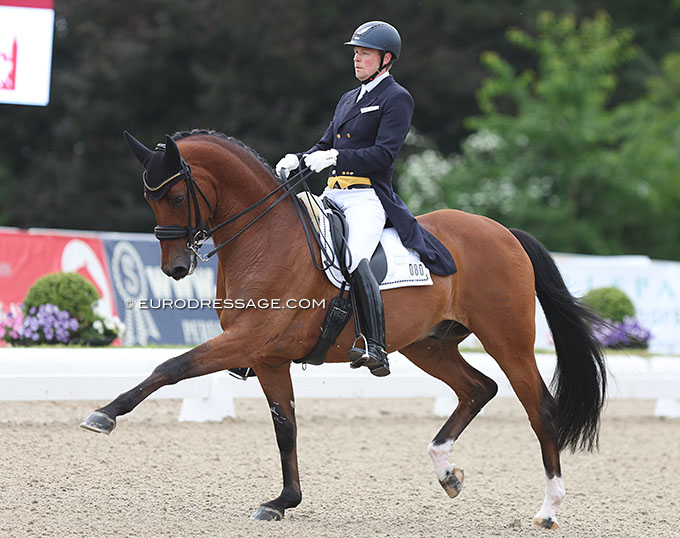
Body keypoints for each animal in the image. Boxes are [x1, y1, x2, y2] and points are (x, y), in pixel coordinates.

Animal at [79, 130, 604, 528]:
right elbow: (285, 426)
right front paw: (283, 502)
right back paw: (446, 471)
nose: (175, 267)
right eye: (149, 198)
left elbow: (171, 367)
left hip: (507, 340)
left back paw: (548, 510)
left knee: (541, 410)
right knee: (478, 388)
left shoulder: (246, 341)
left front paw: (104, 414)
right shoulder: (268, 357)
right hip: (428, 346)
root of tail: (503, 231)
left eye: (175, 195)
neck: (264, 237)